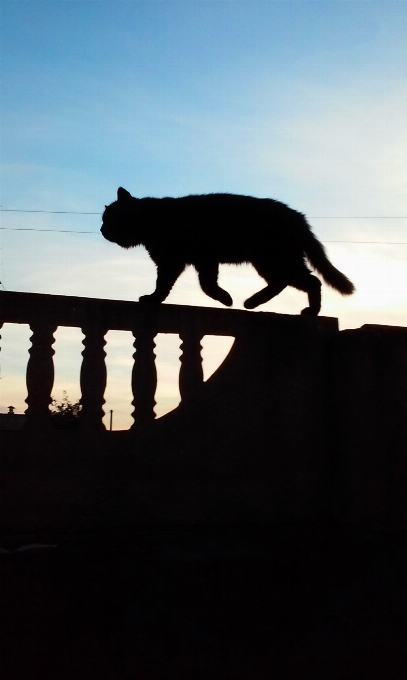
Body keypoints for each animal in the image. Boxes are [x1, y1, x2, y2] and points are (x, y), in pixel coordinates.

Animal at [100, 186, 356, 314]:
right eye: (104, 219)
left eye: (110, 219)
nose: (102, 229)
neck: (152, 219)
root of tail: (298, 217)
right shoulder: (196, 261)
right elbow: (201, 284)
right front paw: (224, 298)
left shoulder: (178, 261)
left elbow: (179, 285)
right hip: (269, 262)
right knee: (283, 282)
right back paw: (253, 302)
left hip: (276, 259)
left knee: (311, 281)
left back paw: (309, 311)